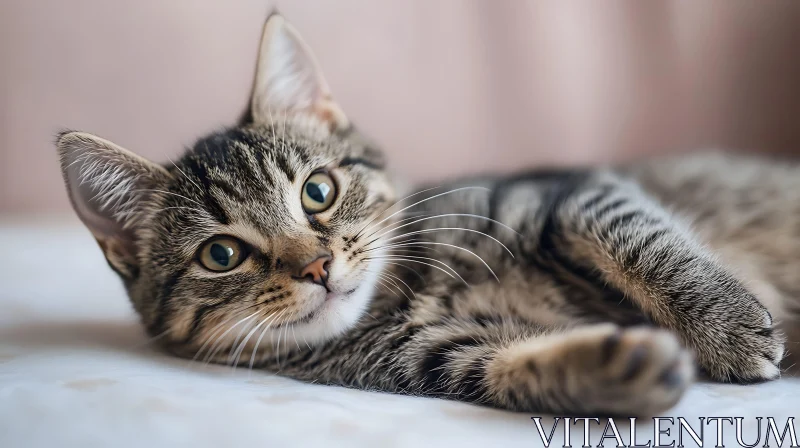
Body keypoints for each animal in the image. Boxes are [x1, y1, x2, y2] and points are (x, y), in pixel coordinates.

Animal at [56, 11, 792, 416]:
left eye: (317, 192)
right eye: (221, 254)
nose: (318, 266)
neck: (407, 291)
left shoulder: (562, 192)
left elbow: (640, 240)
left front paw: (726, 325)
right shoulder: (428, 355)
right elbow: (508, 366)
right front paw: (618, 371)